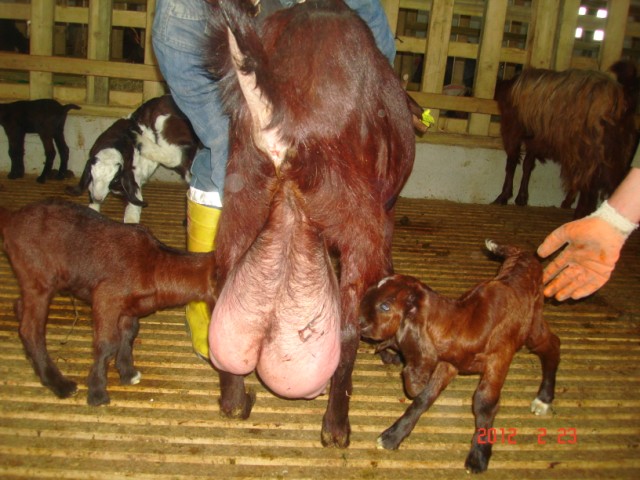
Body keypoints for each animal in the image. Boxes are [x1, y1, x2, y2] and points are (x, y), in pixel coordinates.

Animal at [0, 198, 217, 406]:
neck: (155, 264)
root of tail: (12, 218)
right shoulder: (106, 298)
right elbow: (107, 343)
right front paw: (97, 393)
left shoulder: (129, 309)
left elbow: (128, 334)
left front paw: (128, 373)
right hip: (37, 275)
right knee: (30, 329)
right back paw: (60, 384)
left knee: (20, 307)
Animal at [67, 95, 197, 223]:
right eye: (92, 175)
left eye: (114, 179)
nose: (98, 198)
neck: (114, 143)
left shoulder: (132, 177)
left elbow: (132, 210)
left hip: (164, 122)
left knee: (175, 157)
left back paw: (140, 140)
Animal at [359, 240, 561, 473]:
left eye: (385, 306)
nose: (358, 321)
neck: (463, 322)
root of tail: (524, 255)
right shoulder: (448, 363)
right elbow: (424, 396)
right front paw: (393, 436)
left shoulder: (499, 358)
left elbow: (484, 402)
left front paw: (479, 456)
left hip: (532, 325)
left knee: (552, 344)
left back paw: (544, 398)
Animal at [493, 61, 639, 218]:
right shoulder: (535, 137)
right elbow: (528, 165)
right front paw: (522, 197)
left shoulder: (512, 129)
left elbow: (512, 163)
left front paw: (504, 196)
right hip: (618, 154)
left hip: (590, 151)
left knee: (589, 187)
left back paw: (579, 213)